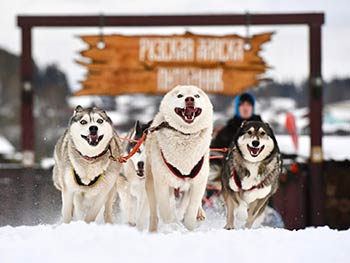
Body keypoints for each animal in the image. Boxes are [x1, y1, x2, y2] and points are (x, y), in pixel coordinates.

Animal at [145, 85, 213, 232]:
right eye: (180, 95)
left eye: (196, 96)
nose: (190, 99)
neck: (185, 135)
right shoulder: (161, 182)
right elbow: (165, 210)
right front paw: (172, 223)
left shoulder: (198, 182)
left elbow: (191, 207)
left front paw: (189, 226)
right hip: (150, 182)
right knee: (154, 212)